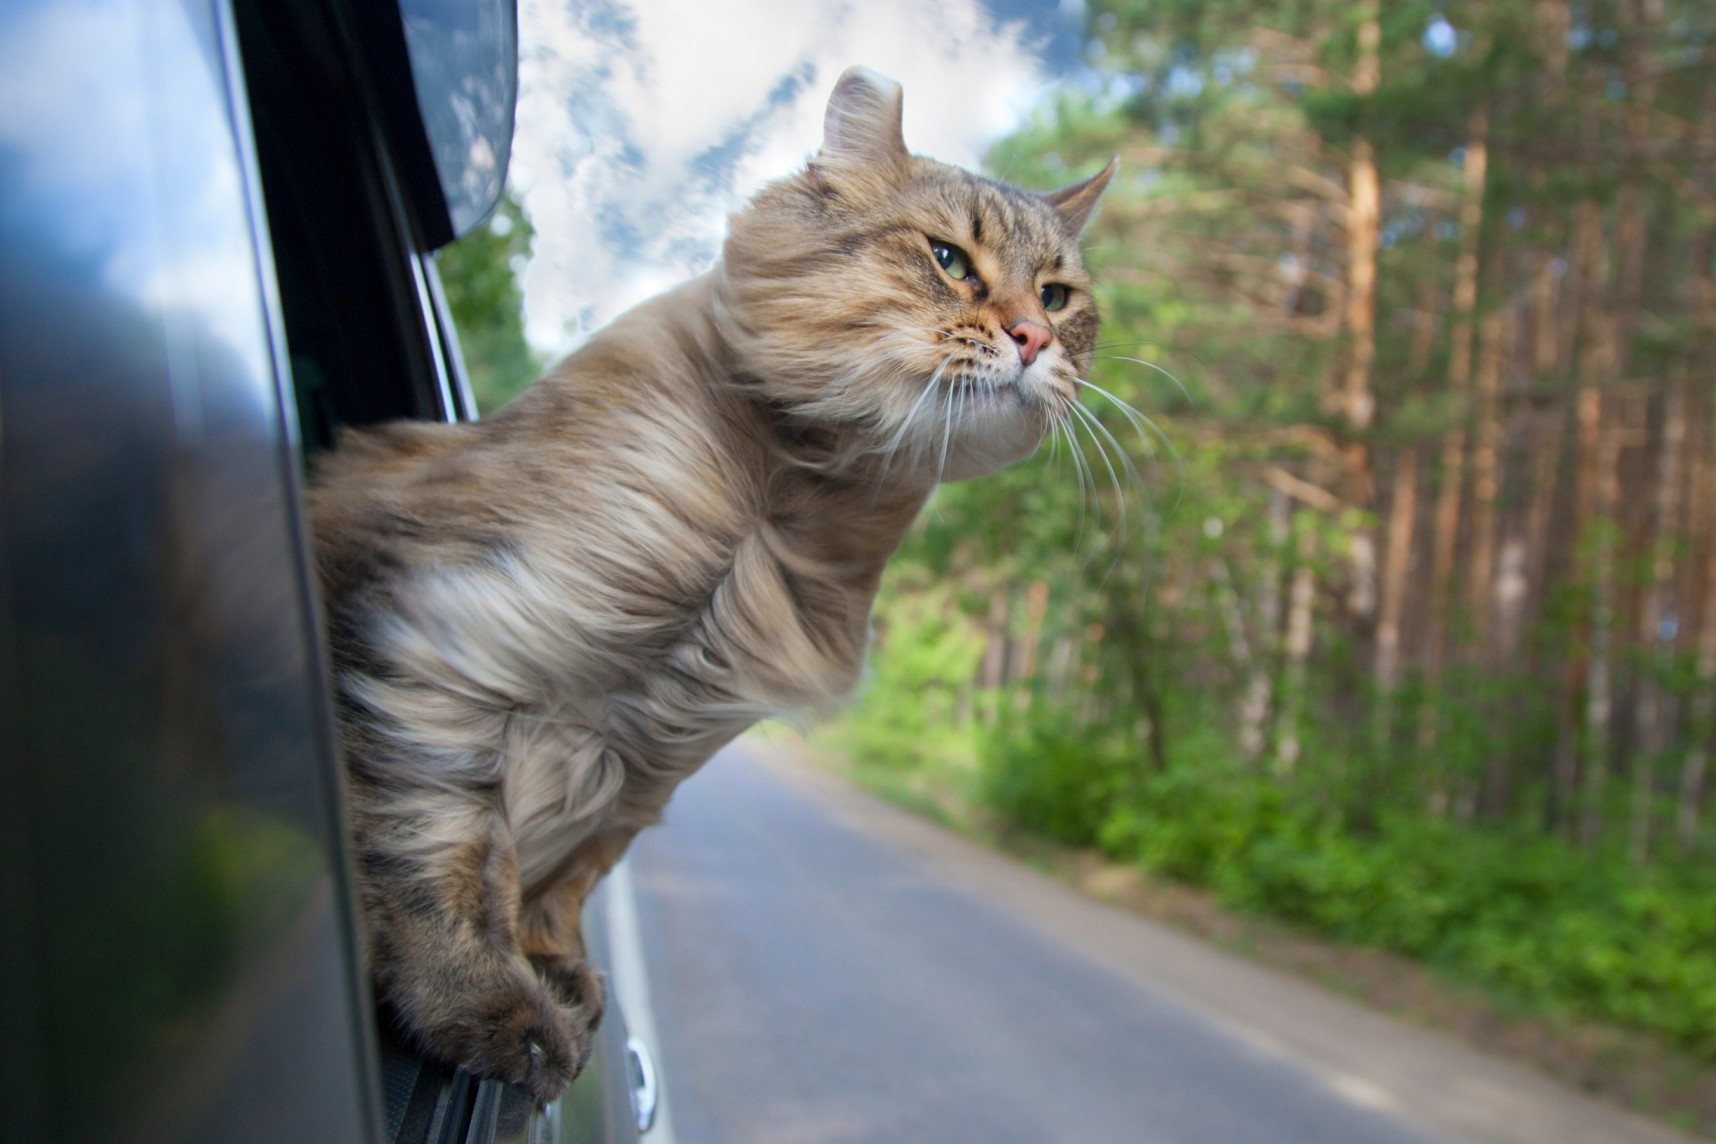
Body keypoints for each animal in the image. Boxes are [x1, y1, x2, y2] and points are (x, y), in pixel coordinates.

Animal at [307, 64, 1111, 1097]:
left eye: (1057, 295)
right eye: (949, 260)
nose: (1032, 337)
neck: (779, 507)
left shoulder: (655, 756)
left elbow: (567, 877)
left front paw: (554, 968)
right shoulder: (444, 643)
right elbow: (445, 853)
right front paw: (495, 1008)